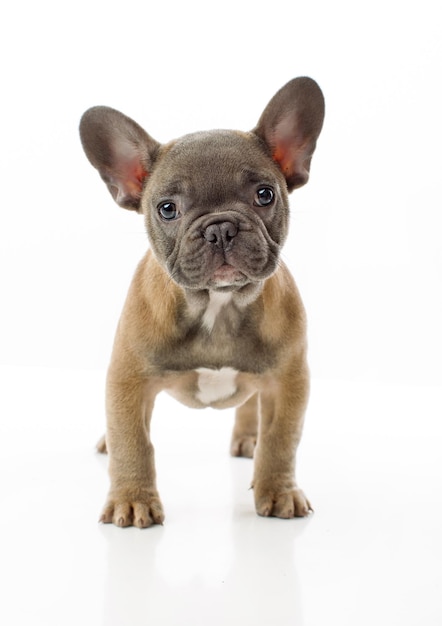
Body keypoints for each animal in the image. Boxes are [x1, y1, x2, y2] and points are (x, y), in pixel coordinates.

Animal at [80, 77, 324, 528]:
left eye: (265, 194)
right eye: (167, 209)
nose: (221, 228)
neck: (218, 306)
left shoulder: (288, 381)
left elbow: (281, 440)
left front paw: (278, 491)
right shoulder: (128, 379)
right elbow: (132, 441)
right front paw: (132, 500)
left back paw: (248, 437)